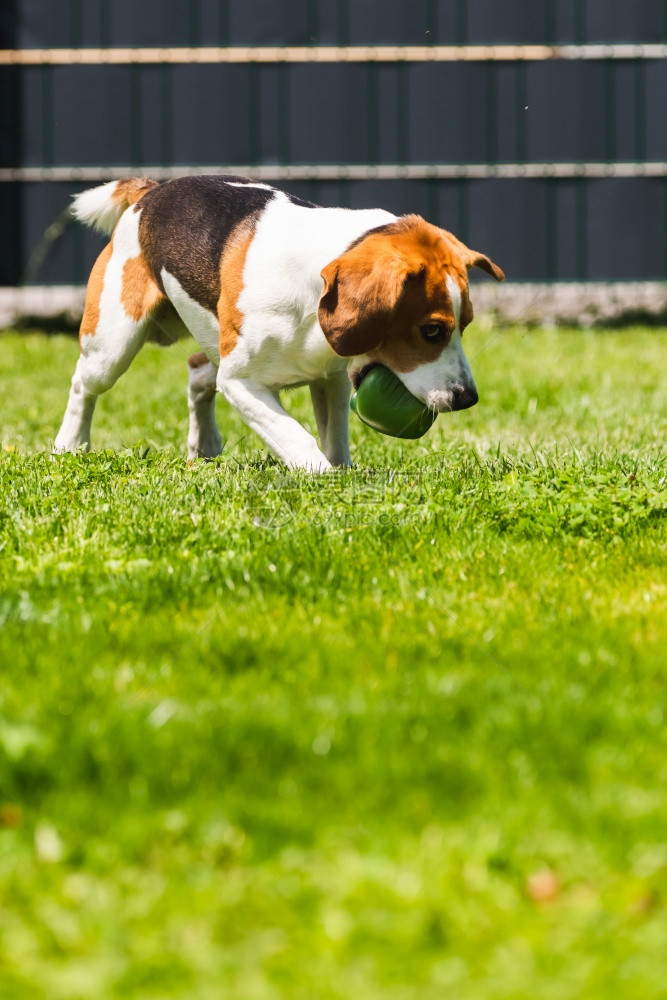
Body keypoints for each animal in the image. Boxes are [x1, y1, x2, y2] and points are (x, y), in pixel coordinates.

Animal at [54, 174, 504, 470]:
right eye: (432, 331)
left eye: (464, 325)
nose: (467, 399)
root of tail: (151, 191)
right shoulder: (242, 383)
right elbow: (299, 441)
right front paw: (324, 478)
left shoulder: (330, 380)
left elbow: (334, 440)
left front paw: (343, 474)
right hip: (113, 345)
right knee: (82, 384)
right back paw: (70, 445)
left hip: (212, 341)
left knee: (198, 372)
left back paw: (205, 445)